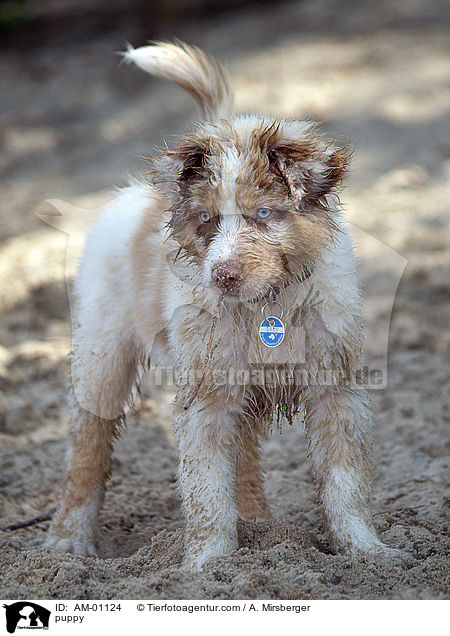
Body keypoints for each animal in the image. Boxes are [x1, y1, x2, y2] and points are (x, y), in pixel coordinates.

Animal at [44, 42, 392, 568]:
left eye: (264, 213)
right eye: (206, 219)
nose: (222, 276)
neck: (268, 305)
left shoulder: (337, 387)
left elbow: (345, 479)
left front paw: (366, 550)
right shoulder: (203, 397)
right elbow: (207, 489)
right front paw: (209, 565)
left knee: (242, 452)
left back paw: (260, 526)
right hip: (100, 350)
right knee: (87, 447)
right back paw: (67, 542)